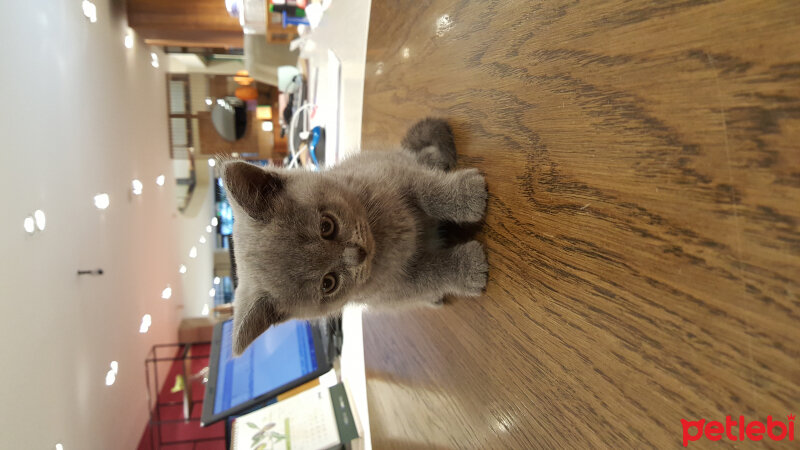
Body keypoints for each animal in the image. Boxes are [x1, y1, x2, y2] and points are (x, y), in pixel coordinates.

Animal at [222, 118, 490, 356]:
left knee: (417, 158)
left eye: (326, 226)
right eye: (328, 283)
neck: (381, 237)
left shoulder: (395, 174)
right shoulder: (392, 290)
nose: (358, 253)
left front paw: (467, 196)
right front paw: (469, 267)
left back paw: (435, 159)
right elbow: (432, 275)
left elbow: (429, 190)